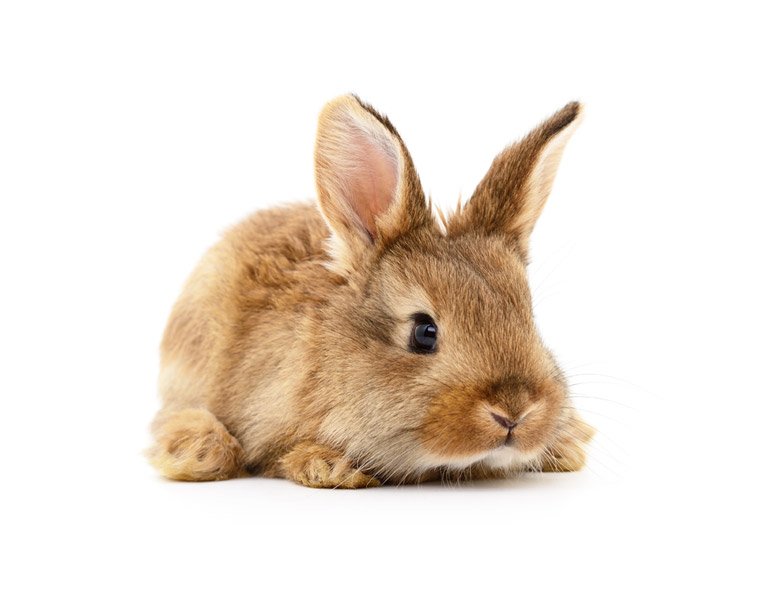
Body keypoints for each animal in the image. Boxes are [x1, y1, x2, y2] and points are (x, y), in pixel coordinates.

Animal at [147, 94, 594, 488]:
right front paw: (330, 467)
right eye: (424, 332)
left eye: (530, 320)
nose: (514, 412)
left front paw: (568, 445)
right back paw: (198, 450)